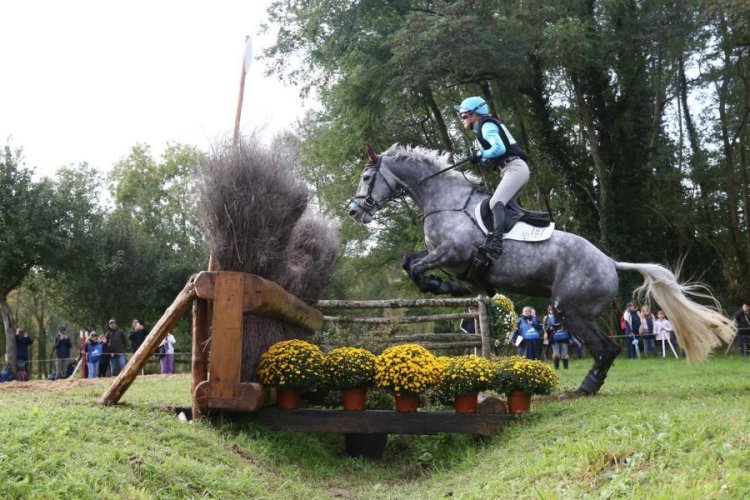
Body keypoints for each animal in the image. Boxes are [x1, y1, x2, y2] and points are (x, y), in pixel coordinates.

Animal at [347, 144, 736, 395]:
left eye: (367, 177)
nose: (354, 211)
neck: (445, 201)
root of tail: (609, 261)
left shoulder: (451, 252)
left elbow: (415, 266)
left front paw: (434, 285)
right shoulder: (450, 262)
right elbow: (410, 262)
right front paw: (445, 288)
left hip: (568, 309)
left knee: (605, 348)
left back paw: (583, 389)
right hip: (580, 311)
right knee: (606, 348)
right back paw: (588, 386)